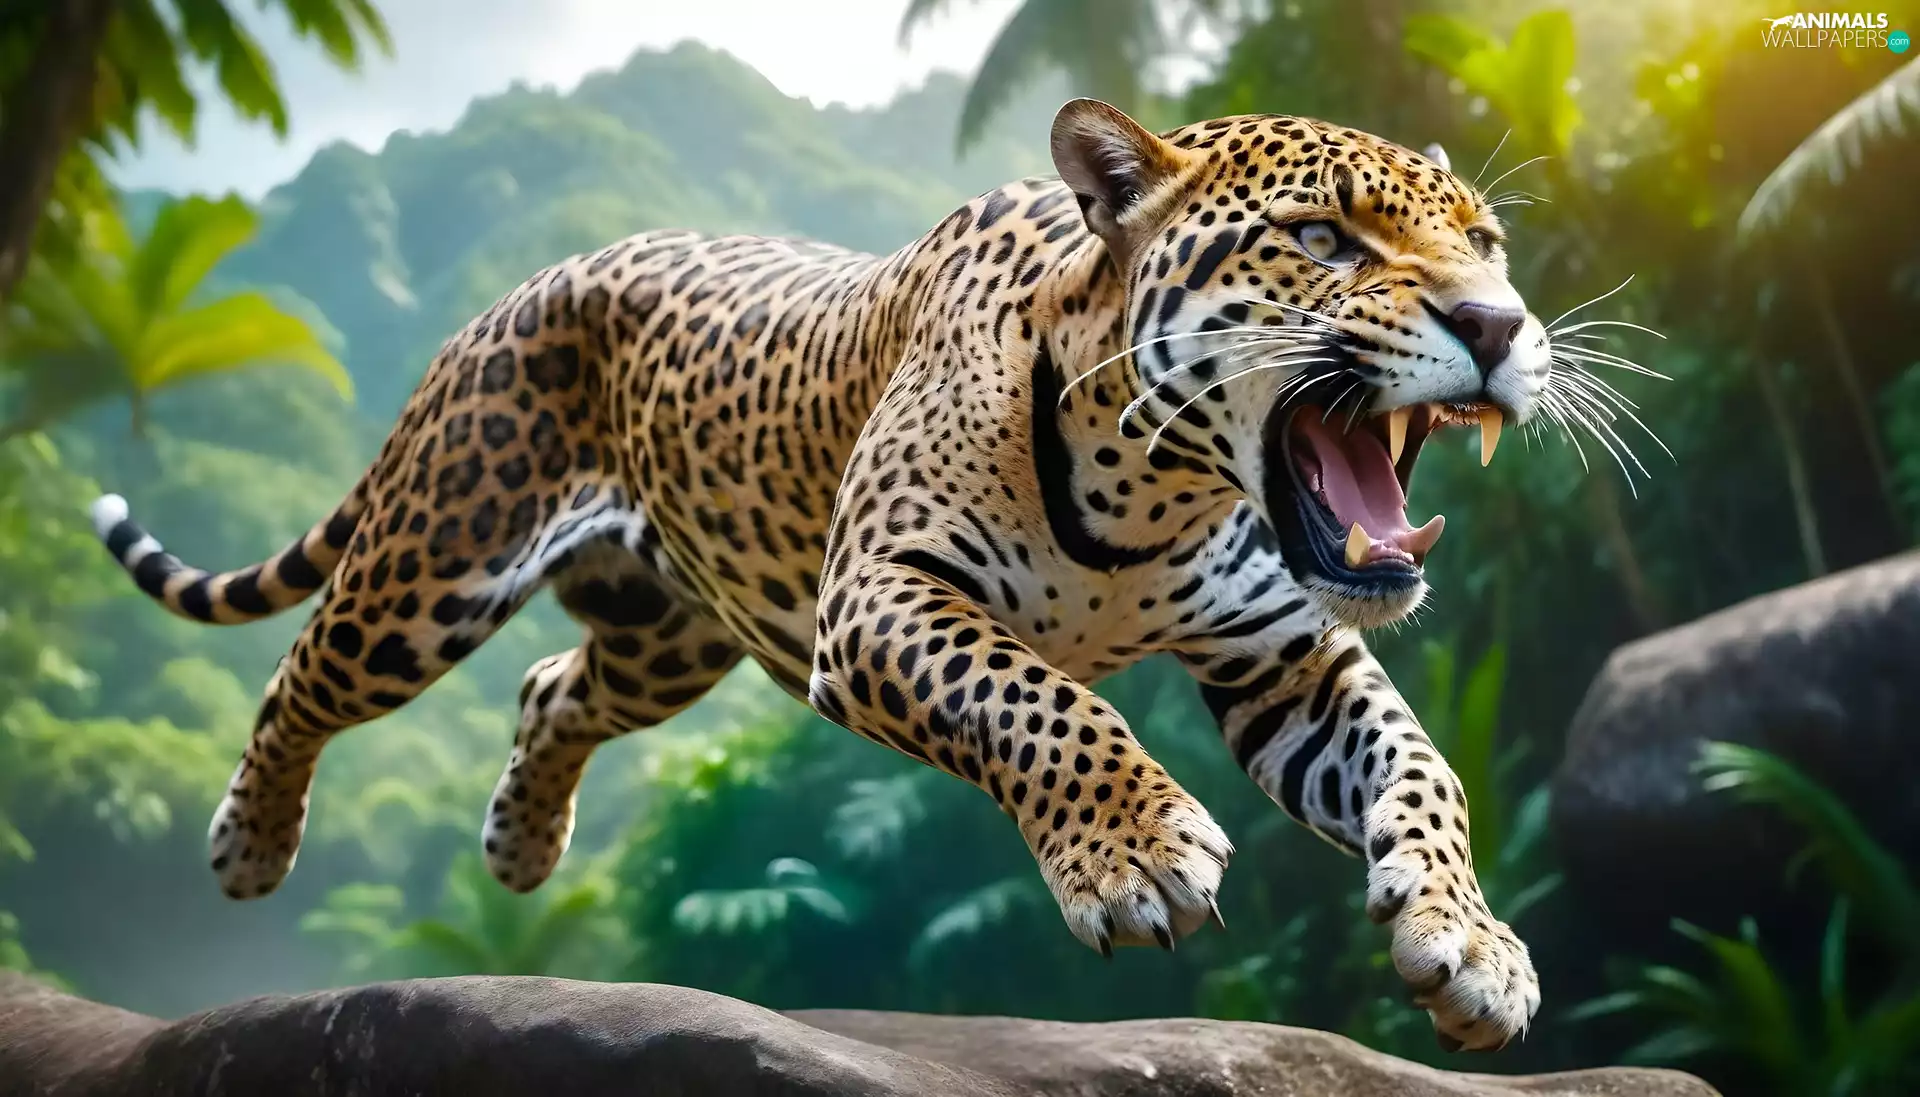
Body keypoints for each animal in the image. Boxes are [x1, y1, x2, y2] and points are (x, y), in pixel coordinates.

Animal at [91, 99, 1552, 1050]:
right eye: (1323, 239)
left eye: (1487, 242)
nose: (1499, 324)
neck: (1161, 491)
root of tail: (523, 289)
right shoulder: (881, 600)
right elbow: (1043, 698)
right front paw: (1134, 853)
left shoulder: (1283, 657)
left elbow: (1424, 767)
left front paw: (1471, 945)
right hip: (436, 558)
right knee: (303, 673)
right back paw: (248, 842)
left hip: (672, 636)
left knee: (553, 688)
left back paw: (519, 840)